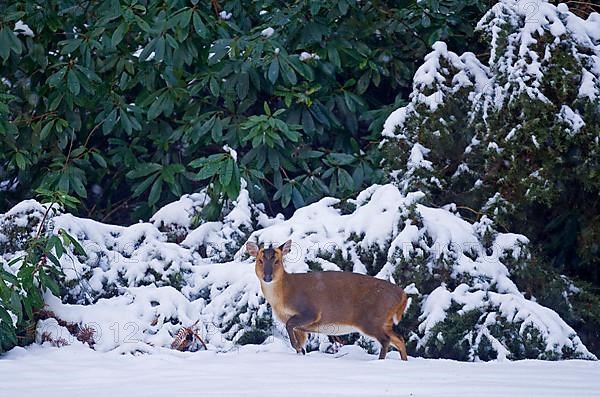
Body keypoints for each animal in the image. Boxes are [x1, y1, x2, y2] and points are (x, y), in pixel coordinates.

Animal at [246, 238, 410, 358]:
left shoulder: (310, 311)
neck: (283, 296)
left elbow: (289, 325)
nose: (267, 276)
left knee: (386, 340)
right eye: (260, 260)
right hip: (384, 321)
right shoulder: (301, 327)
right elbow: (299, 341)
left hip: (371, 318)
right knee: (399, 339)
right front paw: (300, 351)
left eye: (277, 261)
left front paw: (297, 347)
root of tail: (402, 295)